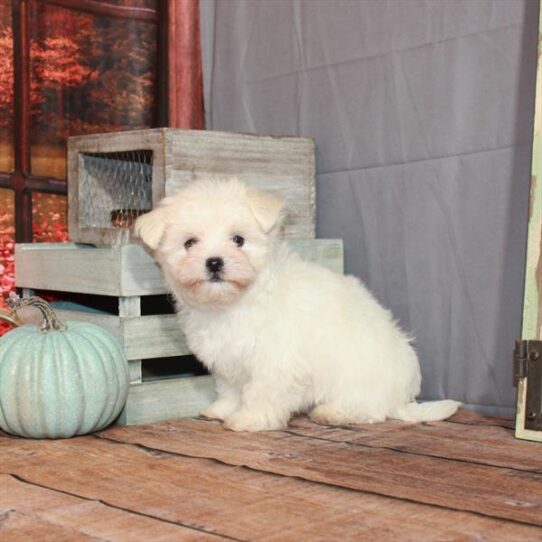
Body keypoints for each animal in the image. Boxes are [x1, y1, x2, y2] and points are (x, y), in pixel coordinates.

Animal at [134, 178, 462, 434]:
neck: (237, 301)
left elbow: (261, 391)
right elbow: (230, 387)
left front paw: (251, 419)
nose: (214, 262)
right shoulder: (228, 358)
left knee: (370, 409)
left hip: (358, 378)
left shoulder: (275, 360)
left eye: (238, 239)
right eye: (190, 243)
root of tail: (401, 397)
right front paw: (224, 409)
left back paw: (333, 412)